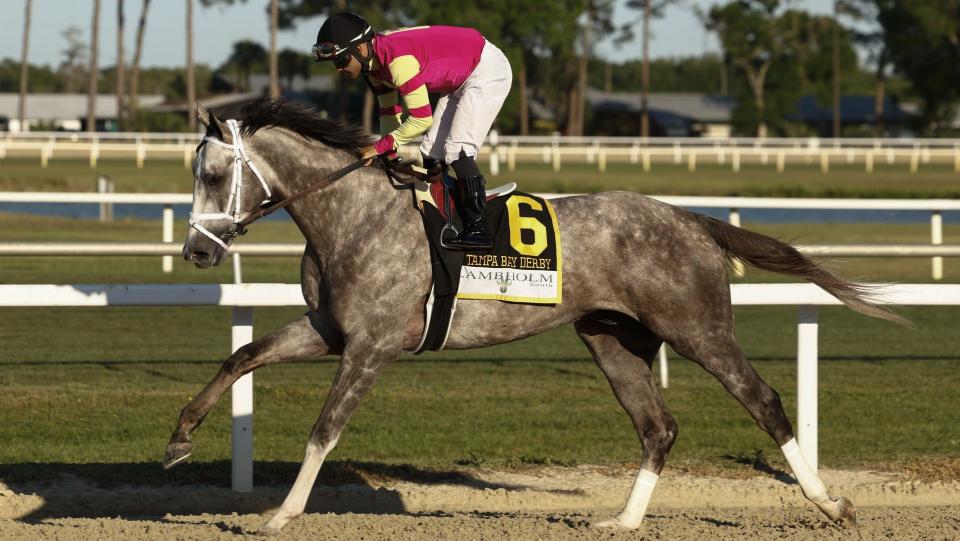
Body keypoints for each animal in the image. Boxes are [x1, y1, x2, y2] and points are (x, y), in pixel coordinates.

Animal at [171, 99, 900, 532]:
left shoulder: (371, 345)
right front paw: (180, 437)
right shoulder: (330, 331)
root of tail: (689, 219)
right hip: (611, 338)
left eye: (213, 175)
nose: (197, 251)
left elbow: (324, 430)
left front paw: (282, 513)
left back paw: (831, 501)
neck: (353, 214)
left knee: (764, 400)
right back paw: (623, 521)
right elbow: (243, 355)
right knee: (657, 427)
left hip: (698, 329)